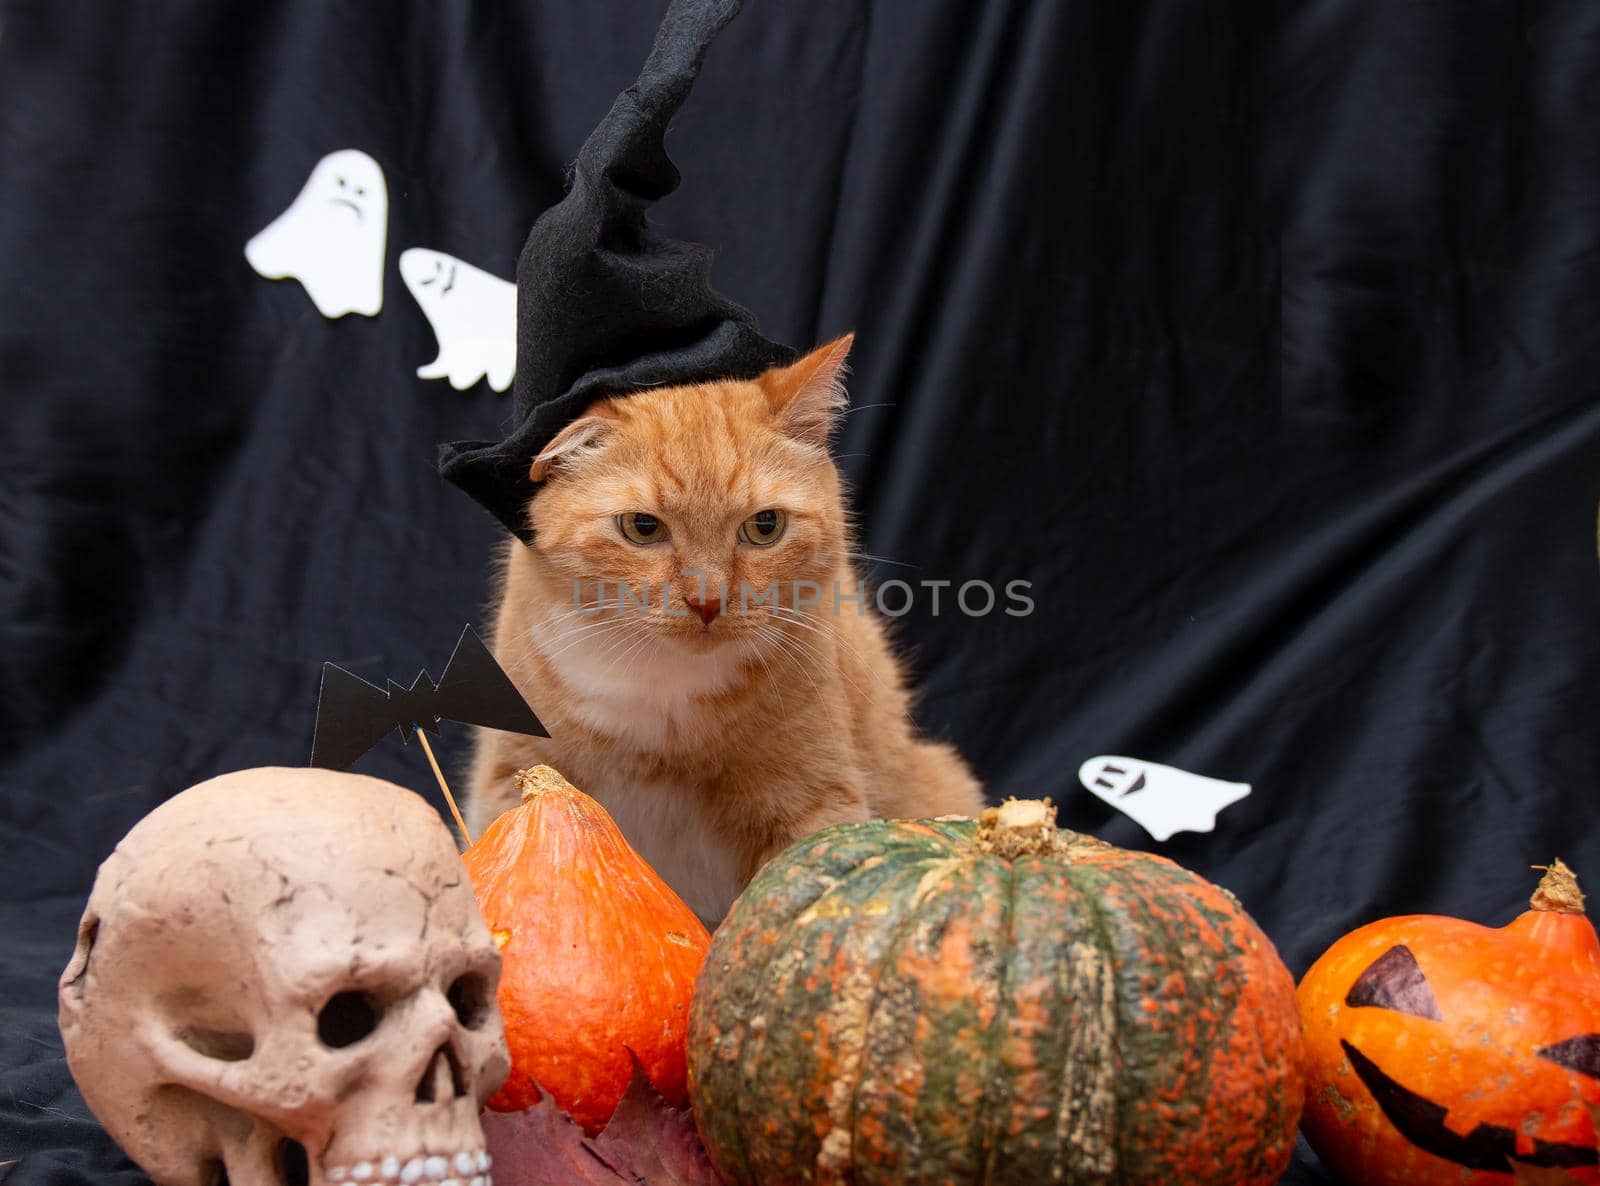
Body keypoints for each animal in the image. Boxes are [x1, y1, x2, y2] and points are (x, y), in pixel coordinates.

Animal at [467, 332, 985, 915]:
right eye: (642, 527)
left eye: (765, 526)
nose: (708, 601)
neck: (665, 696)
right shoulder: (511, 776)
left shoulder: (813, 800)